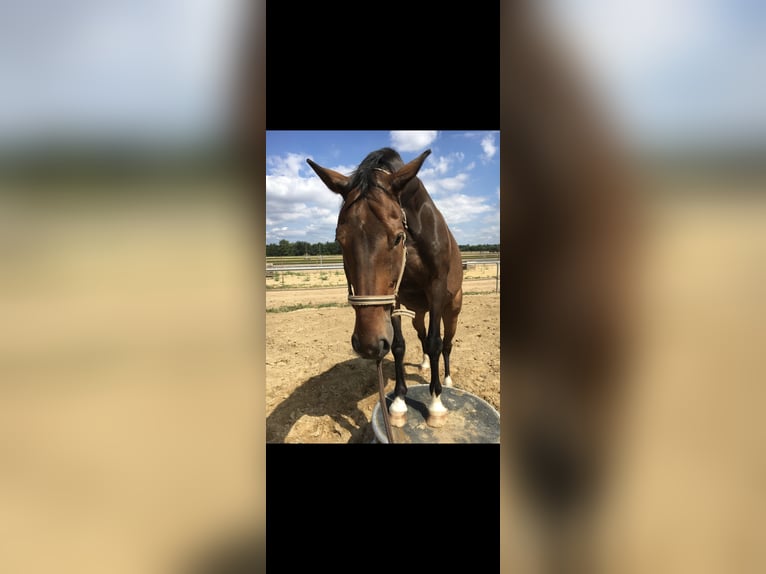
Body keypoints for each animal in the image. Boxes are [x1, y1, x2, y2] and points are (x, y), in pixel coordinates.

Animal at [304, 147, 462, 428]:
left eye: (398, 237)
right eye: (339, 240)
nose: (368, 345)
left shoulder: (436, 291)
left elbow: (435, 343)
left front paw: (435, 404)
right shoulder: (394, 298)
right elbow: (399, 345)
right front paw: (399, 402)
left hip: (451, 309)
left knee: (445, 344)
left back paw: (447, 379)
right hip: (418, 313)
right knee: (421, 337)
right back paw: (423, 364)